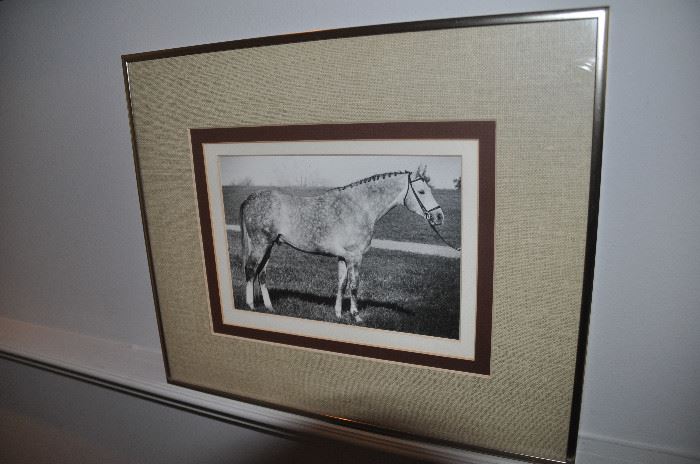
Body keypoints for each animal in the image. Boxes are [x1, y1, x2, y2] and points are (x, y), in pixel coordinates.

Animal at [238, 165, 440, 320]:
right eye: (421, 191)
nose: (439, 216)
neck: (359, 207)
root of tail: (250, 198)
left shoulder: (343, 257)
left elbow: (341, 284)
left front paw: (338, 314)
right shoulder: (355, 257)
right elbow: (354, 285)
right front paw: (356, 316)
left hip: (269, 246)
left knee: (262, 274)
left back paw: (269, 307)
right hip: (260, 244)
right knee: (251, 270)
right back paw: (251, 305)